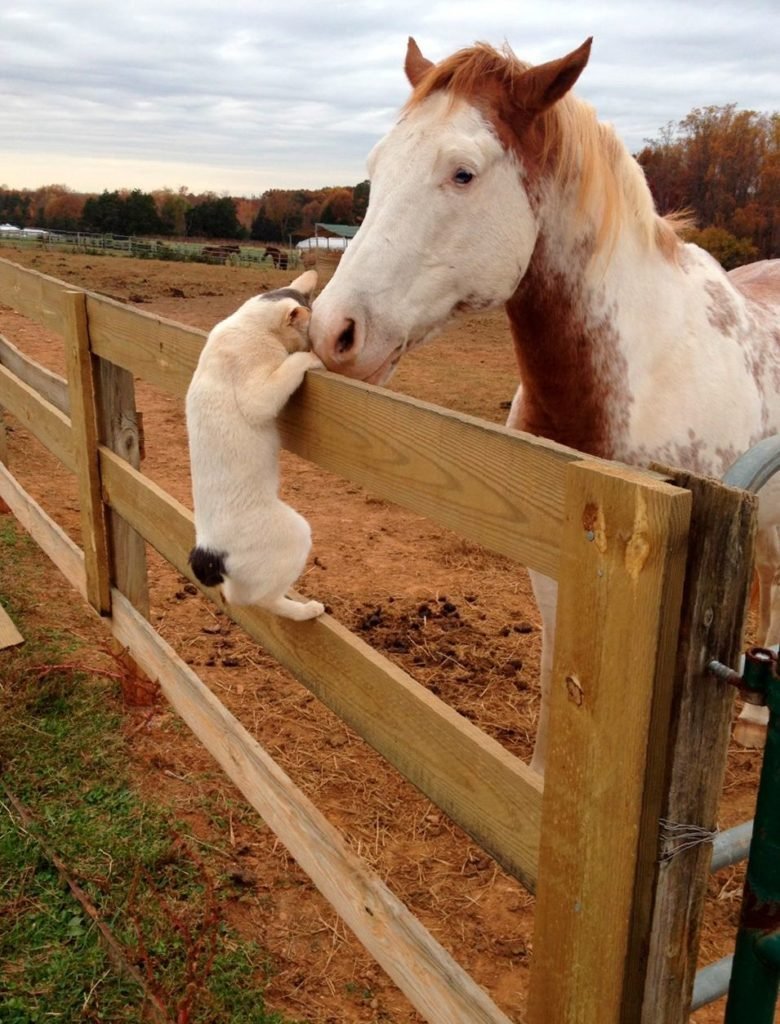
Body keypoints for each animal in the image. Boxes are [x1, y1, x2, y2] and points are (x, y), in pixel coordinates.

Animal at [186, 272, 325, 618]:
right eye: (310, 334)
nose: (315, 347)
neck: (248, 323)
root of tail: (208, 548)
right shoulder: (257, 396)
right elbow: (290, 367)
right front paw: (310, 358)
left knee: (236, 597)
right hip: (296, 532)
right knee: (263, 600)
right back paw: (308, 610)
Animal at [307, 34, 777, 770]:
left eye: (463, 173)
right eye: (377, 168)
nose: (333, 331)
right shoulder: (554, 562)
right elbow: (561, 667)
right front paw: (540, 774)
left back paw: (757, 713)